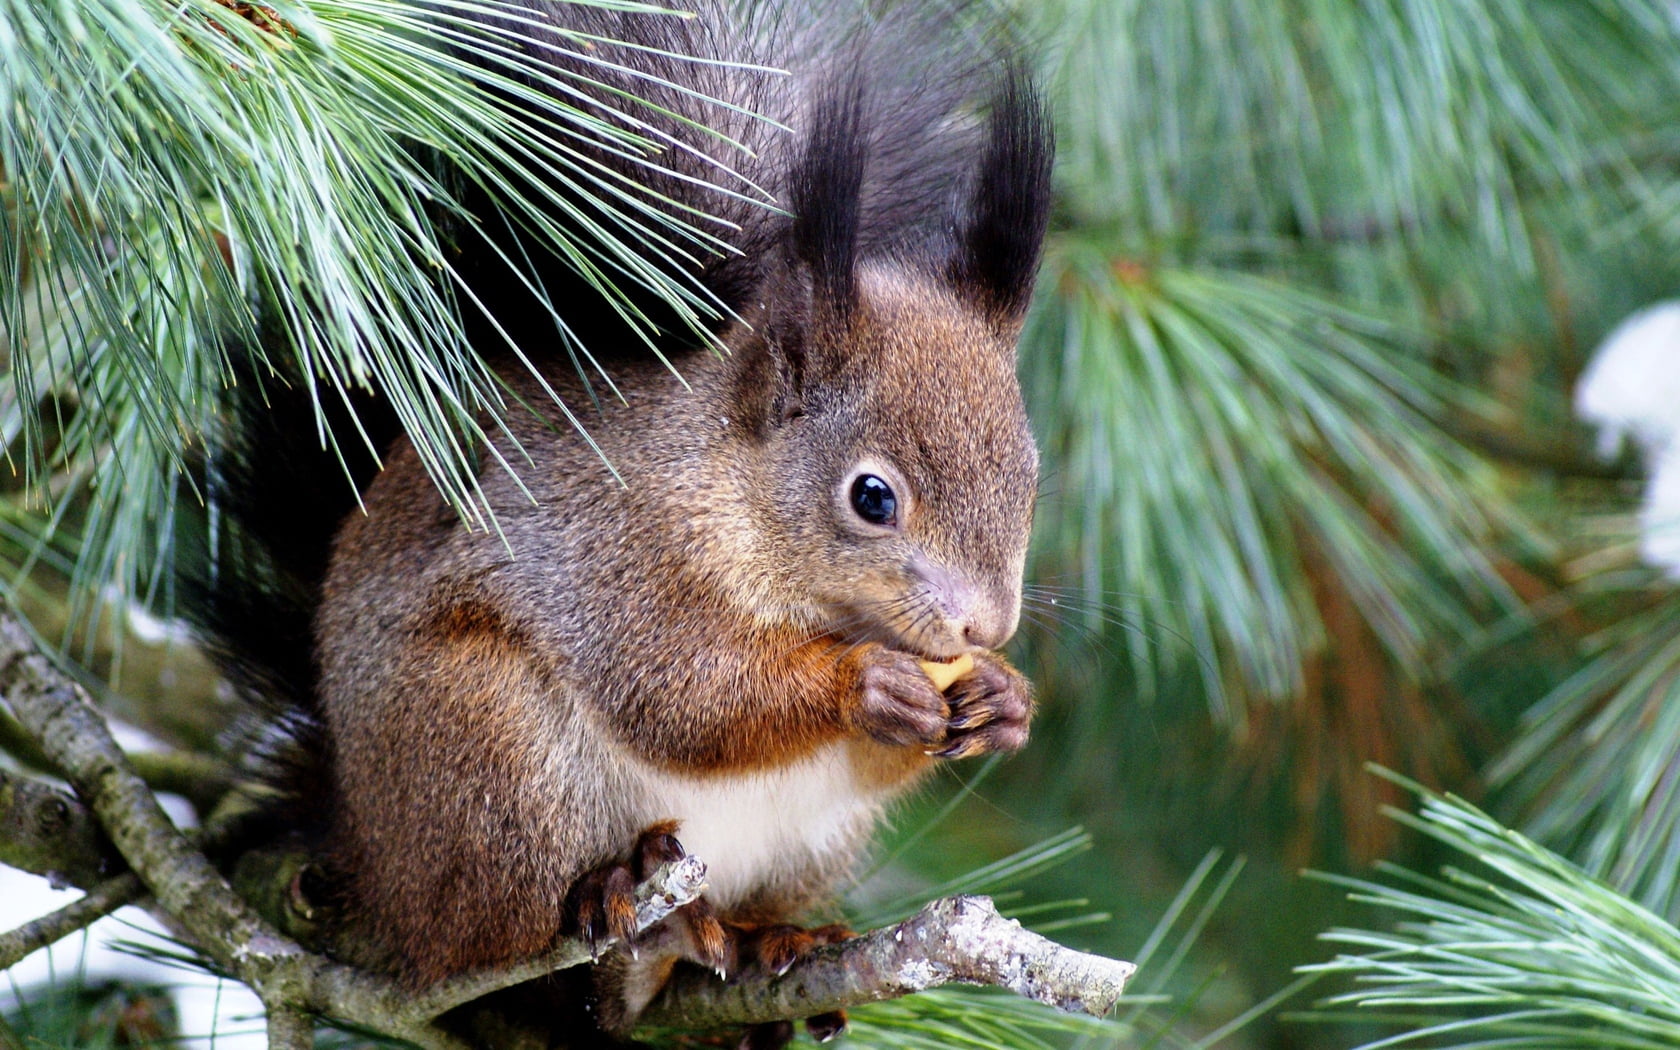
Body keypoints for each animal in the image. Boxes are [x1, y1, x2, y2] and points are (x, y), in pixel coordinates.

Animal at [186, 1, 1052, 1046]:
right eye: (872, 497)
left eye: (1031, 477)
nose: (986, 625)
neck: (731, 489)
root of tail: (361, 847)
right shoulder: (619, 554)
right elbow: (682, 694)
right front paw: (864, 683)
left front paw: (1004, 699)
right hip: (487, 750)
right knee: (497, 941)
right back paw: (623, 923)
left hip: (810, 841)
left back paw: (771, 941)